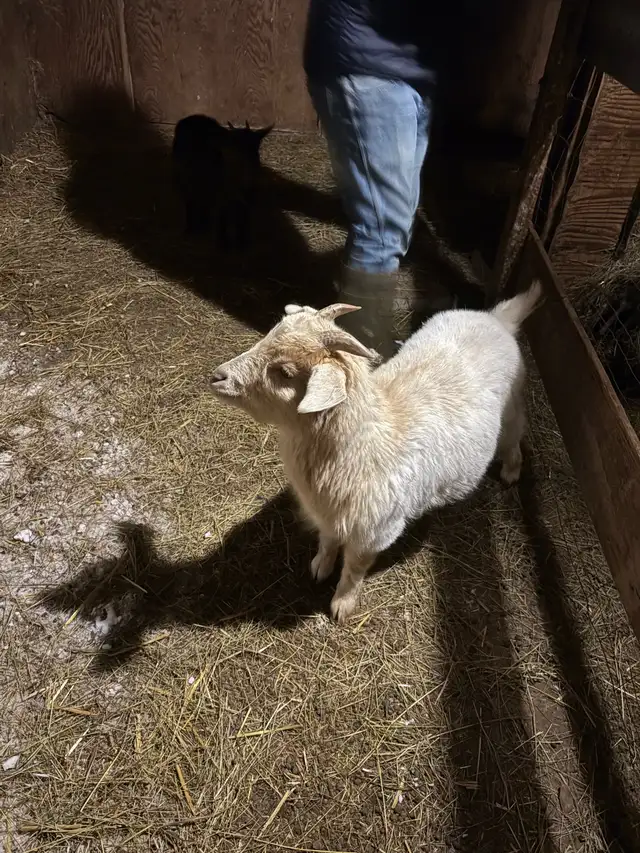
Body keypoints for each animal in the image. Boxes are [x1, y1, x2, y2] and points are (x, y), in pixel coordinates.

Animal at [172, 115, 273, 250]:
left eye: (255, 146)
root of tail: (191, 118)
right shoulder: (223, 196)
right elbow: (224, 219)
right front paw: (224, 244)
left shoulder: (246, 199)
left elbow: (242, 219)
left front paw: (241, 243)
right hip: (185, 178)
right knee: (191, 200)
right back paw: (191, 227)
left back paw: (203, 224)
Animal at [210, 283, 542, 623]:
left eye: (285, 372)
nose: (218, 376)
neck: (362, 441)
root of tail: (497, 319)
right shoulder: (329, 515)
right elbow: (327, 541)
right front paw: (320, 566)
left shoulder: (375, 532)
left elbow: (354, 569)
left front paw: (342, 604)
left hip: (512, 409)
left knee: (515, 437)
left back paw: (512, 471)